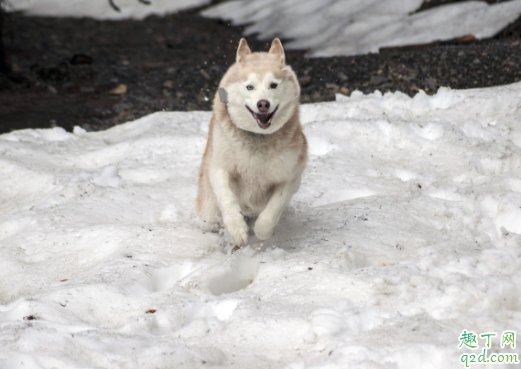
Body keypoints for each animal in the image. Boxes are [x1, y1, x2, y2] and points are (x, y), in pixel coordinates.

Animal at [197, 38, 306, 244]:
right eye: (250, 87)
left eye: (273, 85)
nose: (263, 104)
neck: (257, 138)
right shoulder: (220, 168)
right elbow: (227, 198)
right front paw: (237, 229)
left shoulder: (290, 176)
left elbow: (273, 208)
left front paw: (263, 230)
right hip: (208, 206)